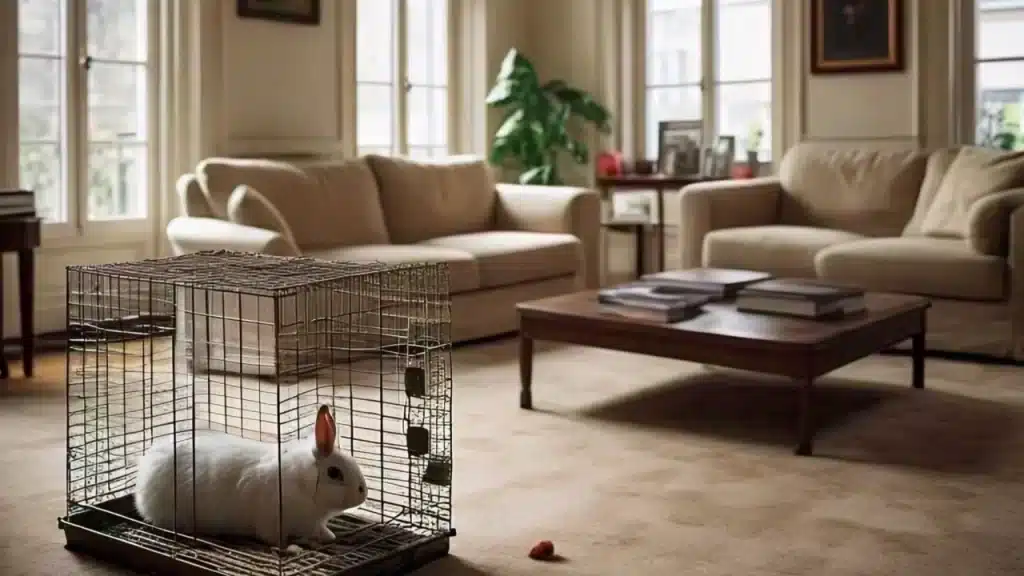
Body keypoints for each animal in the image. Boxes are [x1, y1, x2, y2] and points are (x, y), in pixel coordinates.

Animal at [134, 401, 368, 545]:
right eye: (334, 473)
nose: (363, 492)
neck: (304, 482)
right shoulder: (272, 520)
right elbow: (272, 537)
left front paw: (329, 536)